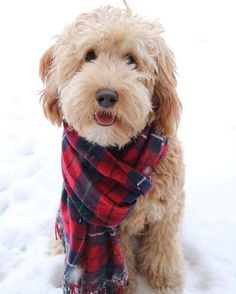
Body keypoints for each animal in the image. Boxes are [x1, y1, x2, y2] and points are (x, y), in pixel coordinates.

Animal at [39, 2, 185, 294]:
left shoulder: (168, 210)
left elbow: (163, 249)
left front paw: (166, 280)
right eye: (89, 55)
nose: (106, 96)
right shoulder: (113, 229)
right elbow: (122, 260)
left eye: (131, 59)